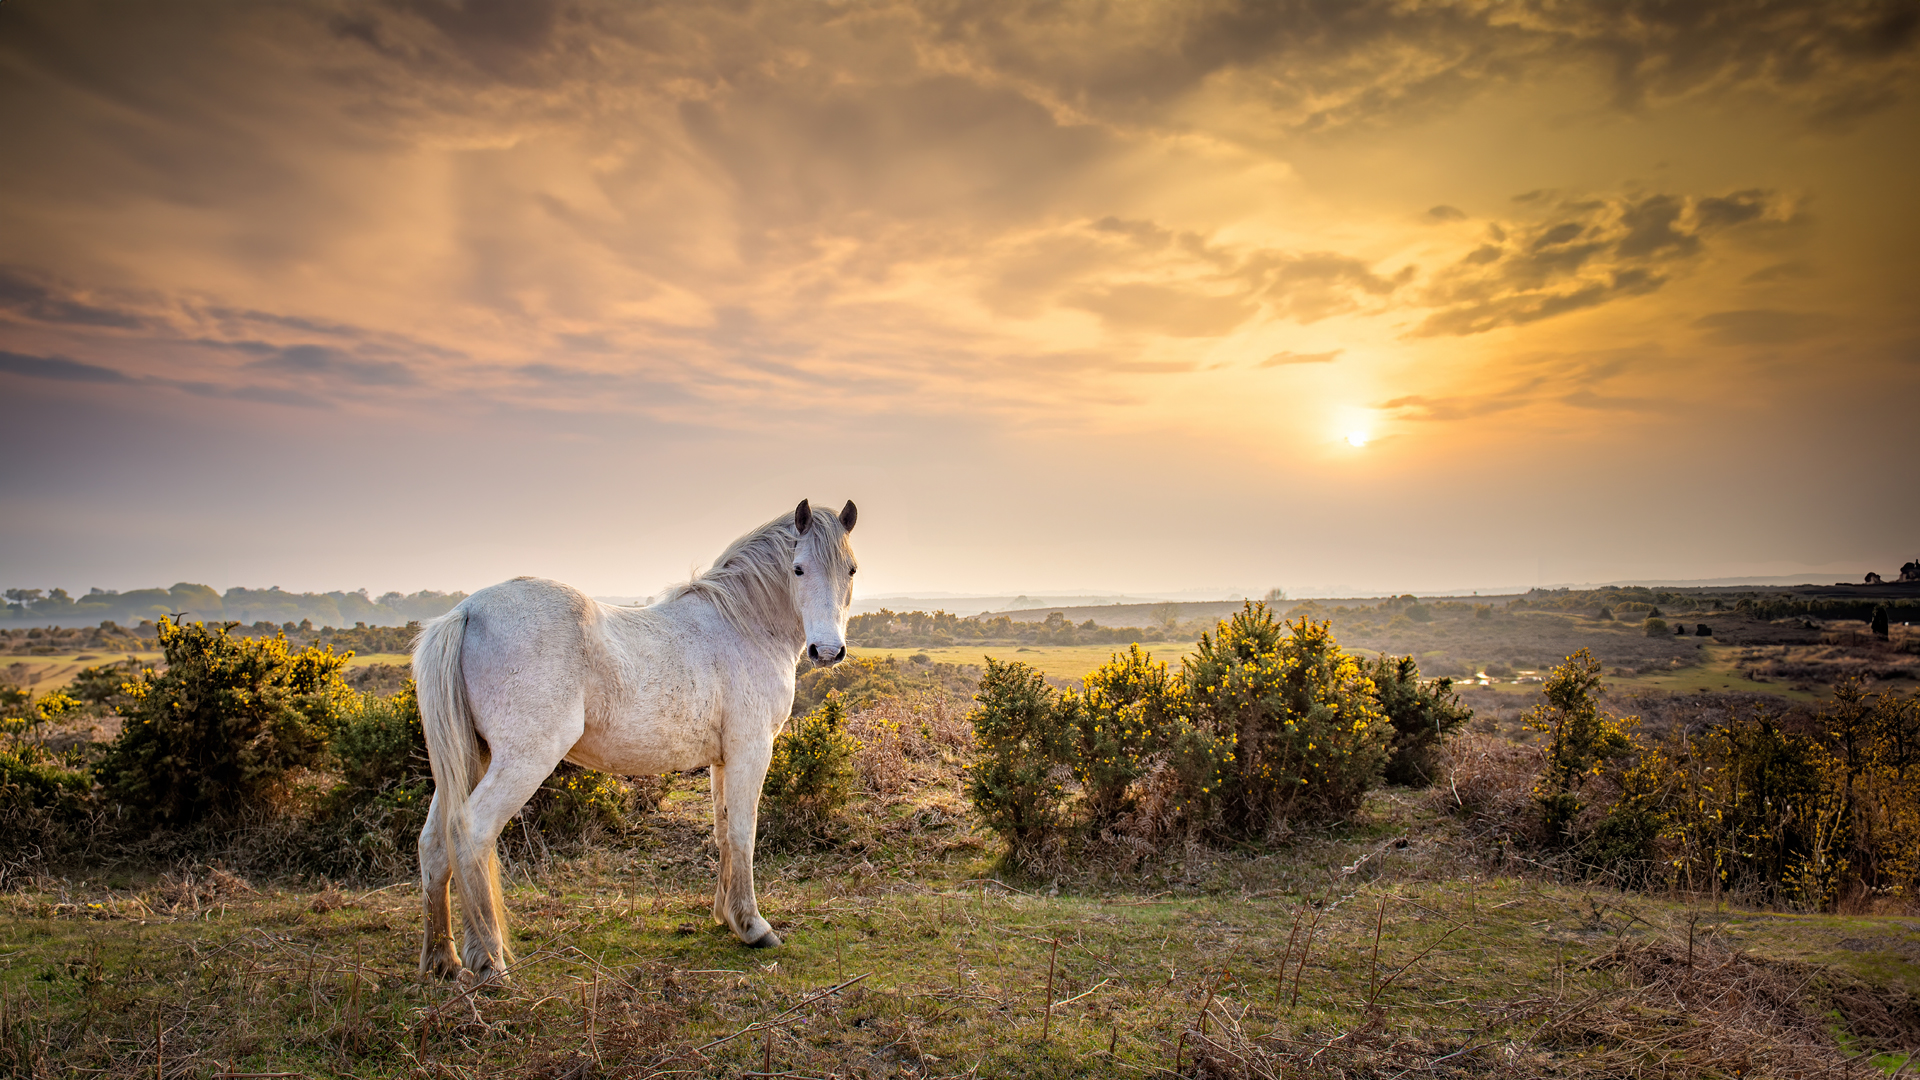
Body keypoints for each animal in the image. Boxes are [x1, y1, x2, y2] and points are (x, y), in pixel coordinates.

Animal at [416, 495, 860, 976]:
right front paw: (754, 927)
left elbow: (723, 831)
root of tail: (466, 611)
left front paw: (727, 917)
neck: (743, 625)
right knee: (471, 833)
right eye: (798, 569)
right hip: (522, 761)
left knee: (435, 844)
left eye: (851, 570)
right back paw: (489, 962)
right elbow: (744, 831)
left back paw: (442, 960)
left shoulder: (723, 759)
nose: (827, 651)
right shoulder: (751, 750)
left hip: (471, 759)